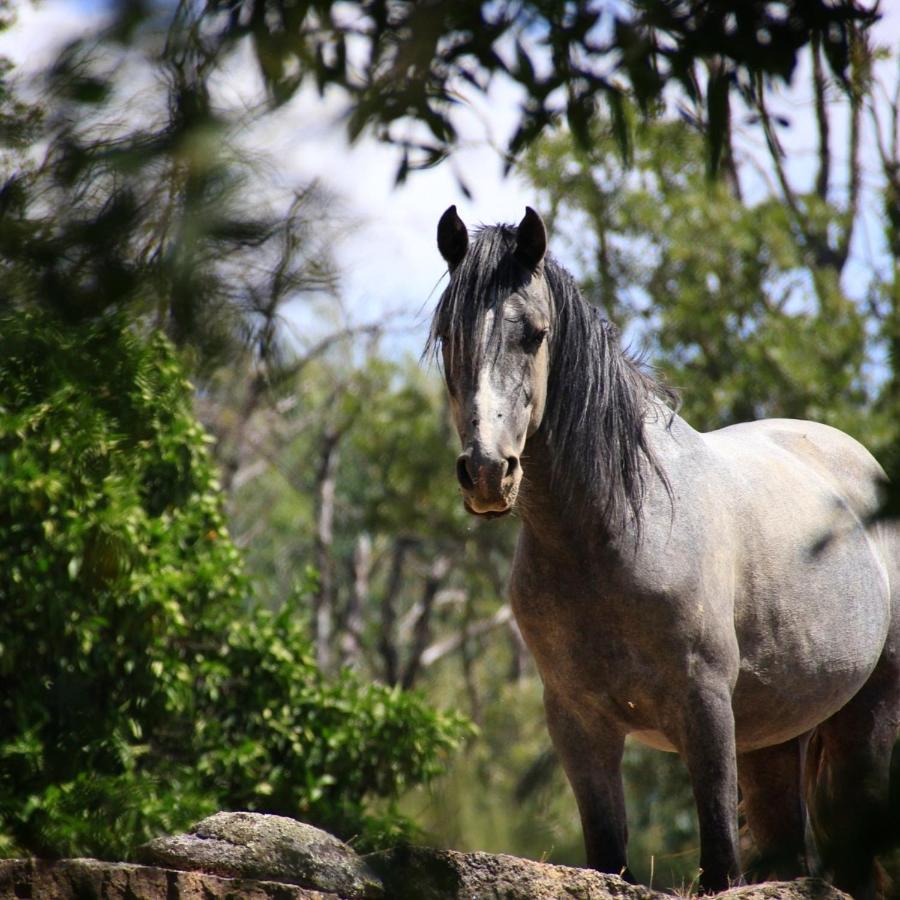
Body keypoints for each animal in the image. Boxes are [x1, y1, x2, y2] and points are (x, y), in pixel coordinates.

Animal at [428, 206, 900, 900]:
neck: (615, 536)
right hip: (773, 739)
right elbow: (606, 856)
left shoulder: (704, 710)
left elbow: (720, 862)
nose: (488, 472)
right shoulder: (578, 723)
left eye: (534, 334)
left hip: (863, 725)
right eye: (448, 337)